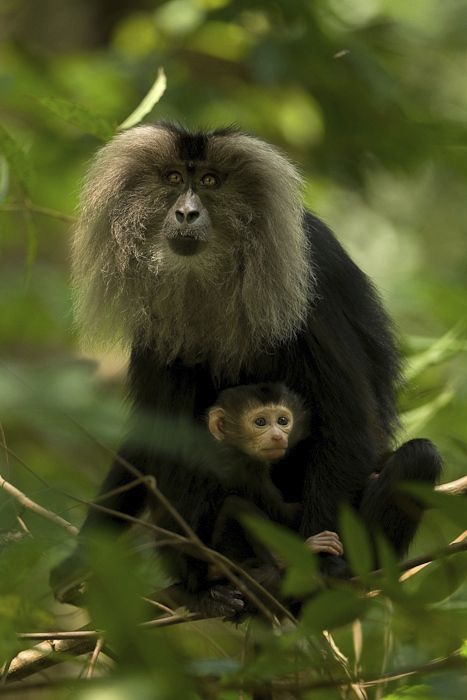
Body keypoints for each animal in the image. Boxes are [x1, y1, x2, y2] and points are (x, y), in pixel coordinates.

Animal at [51, 126, 442, 616]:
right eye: (173, 178)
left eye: (211, 181)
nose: (186, 211)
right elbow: (158, 435)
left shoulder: (308, 278)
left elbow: (347, 423)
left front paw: (321, 564)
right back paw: (210, 583)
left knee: (419, 457)